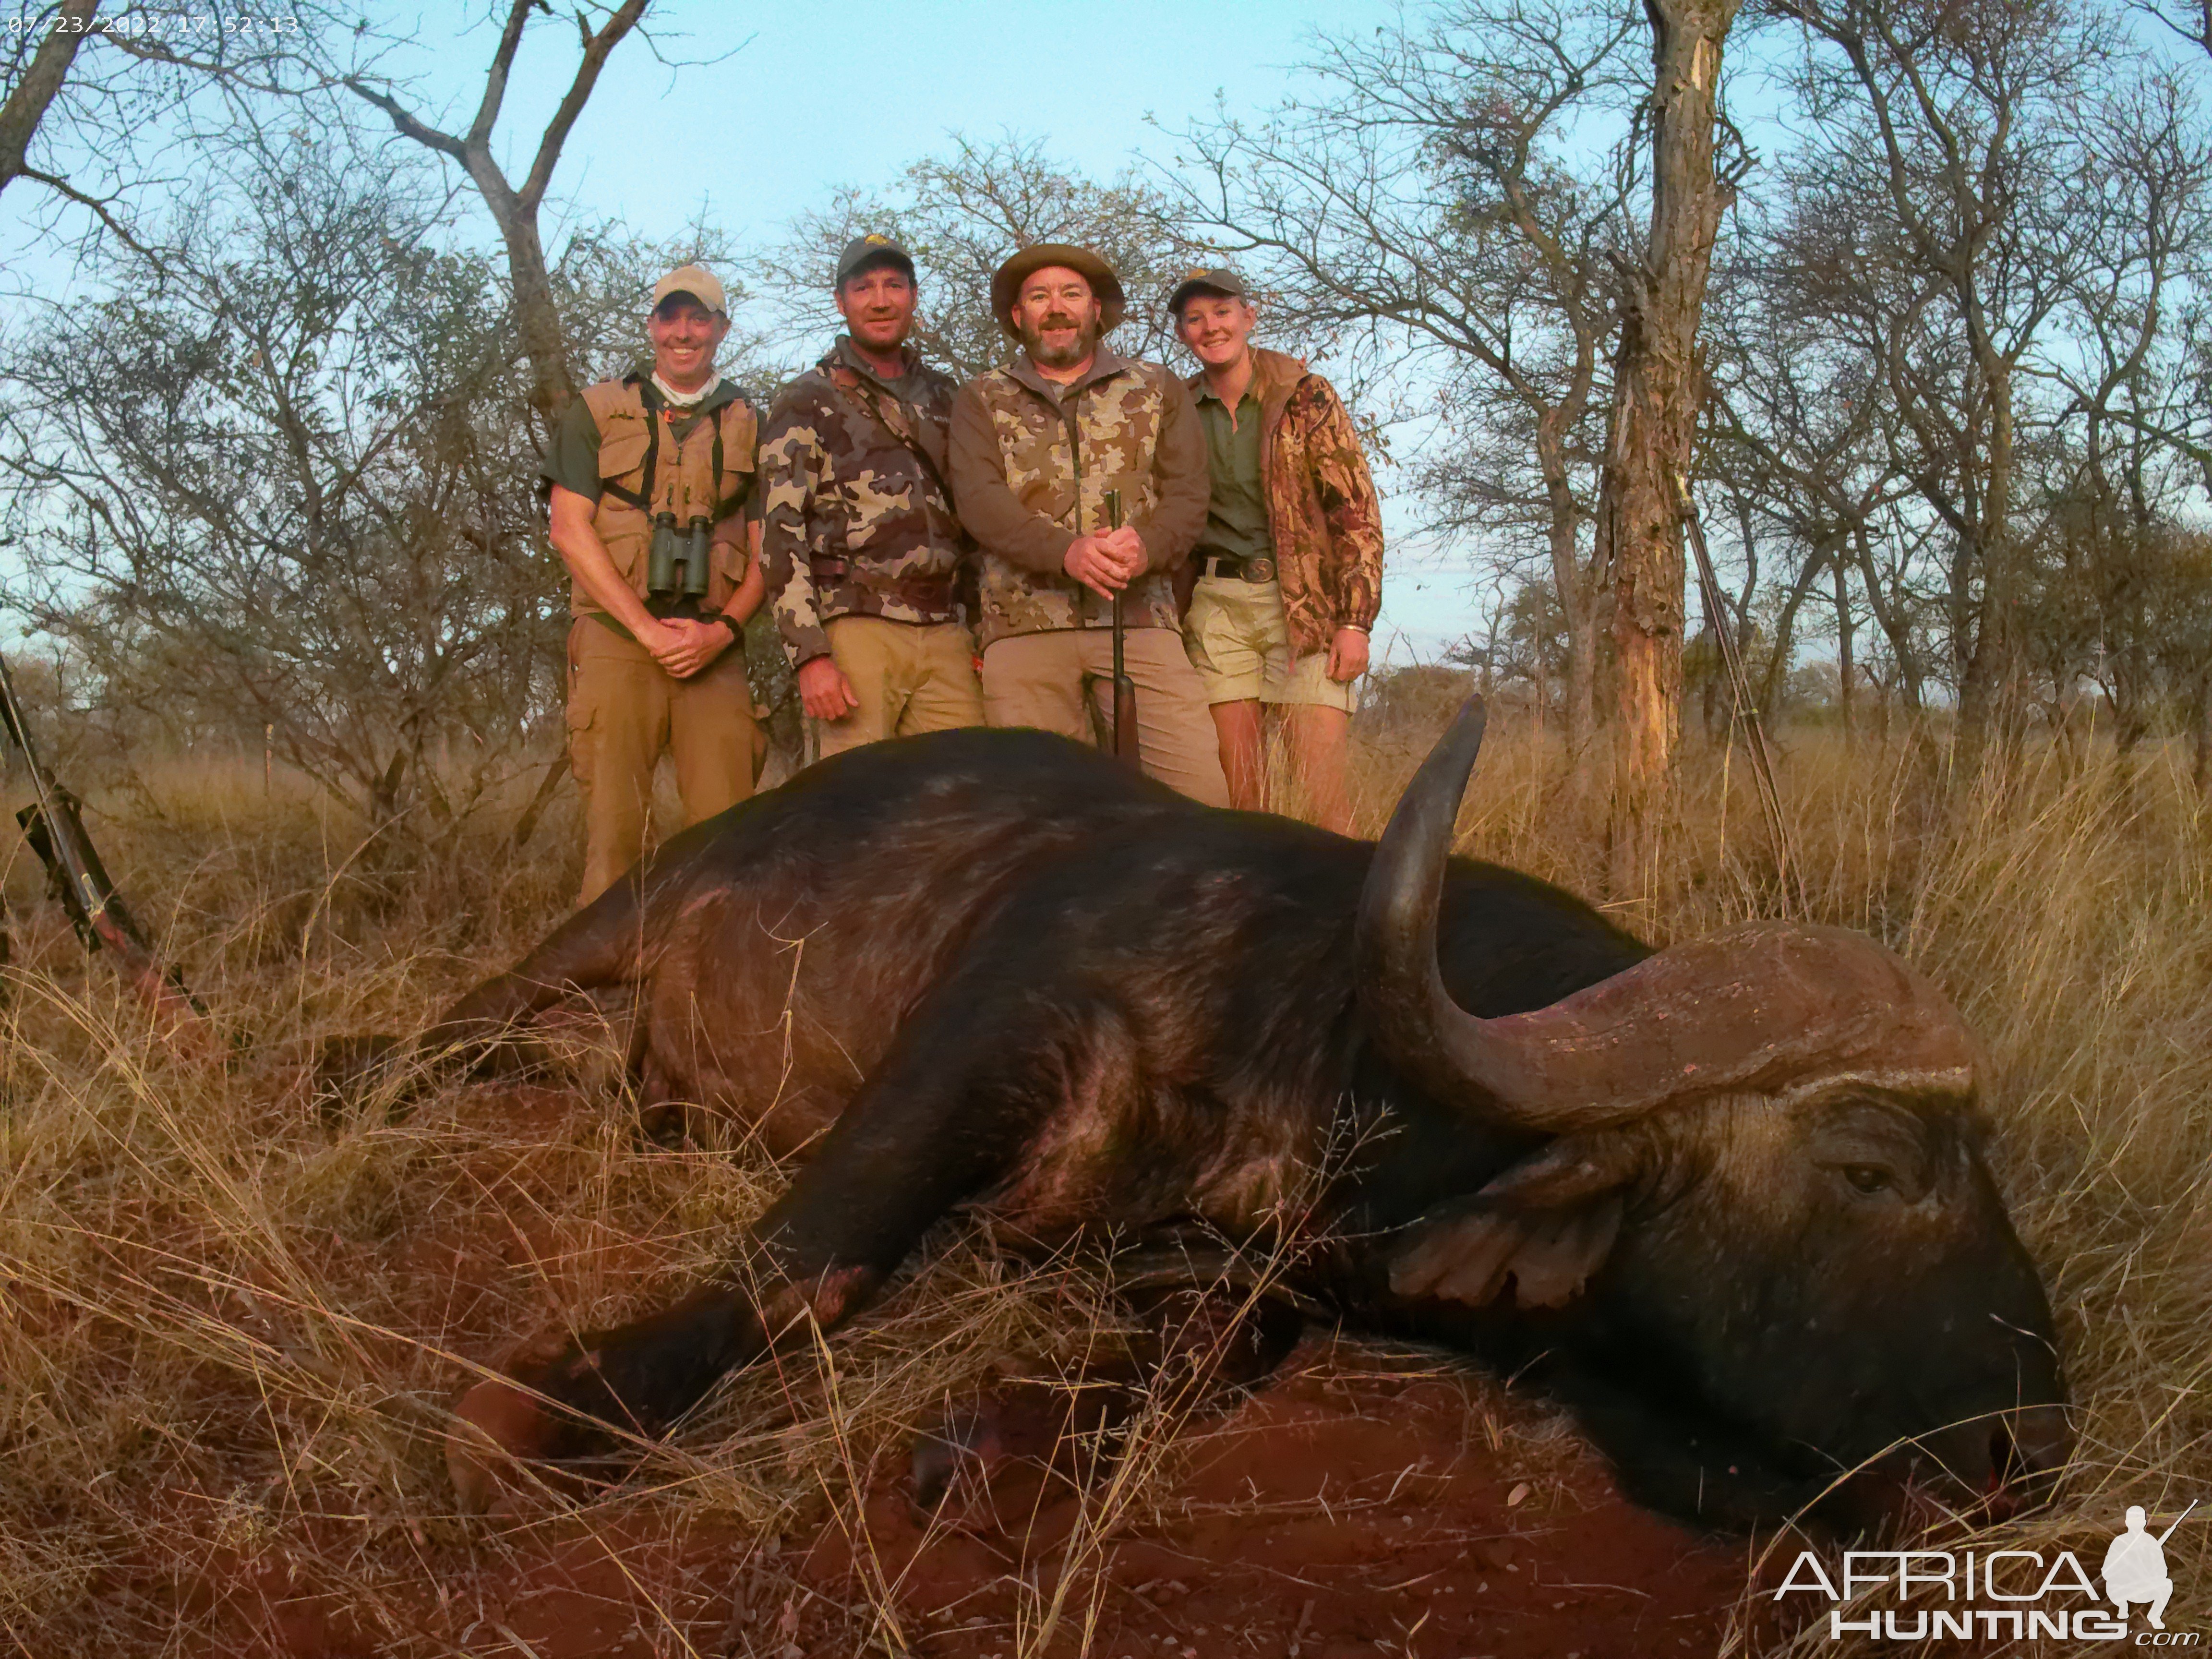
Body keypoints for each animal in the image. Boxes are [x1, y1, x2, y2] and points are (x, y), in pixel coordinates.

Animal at [367, 699, 2070, 1530]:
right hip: (591, 937)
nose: (2028, 1453)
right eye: (1874, 1162)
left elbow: (1196, 1365)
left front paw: (988, 1442)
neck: (1304, 1022)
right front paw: (548, 1415)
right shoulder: (982, 1038)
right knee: (434, 1040)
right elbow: (807, 1268)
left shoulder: (1237, 1278)